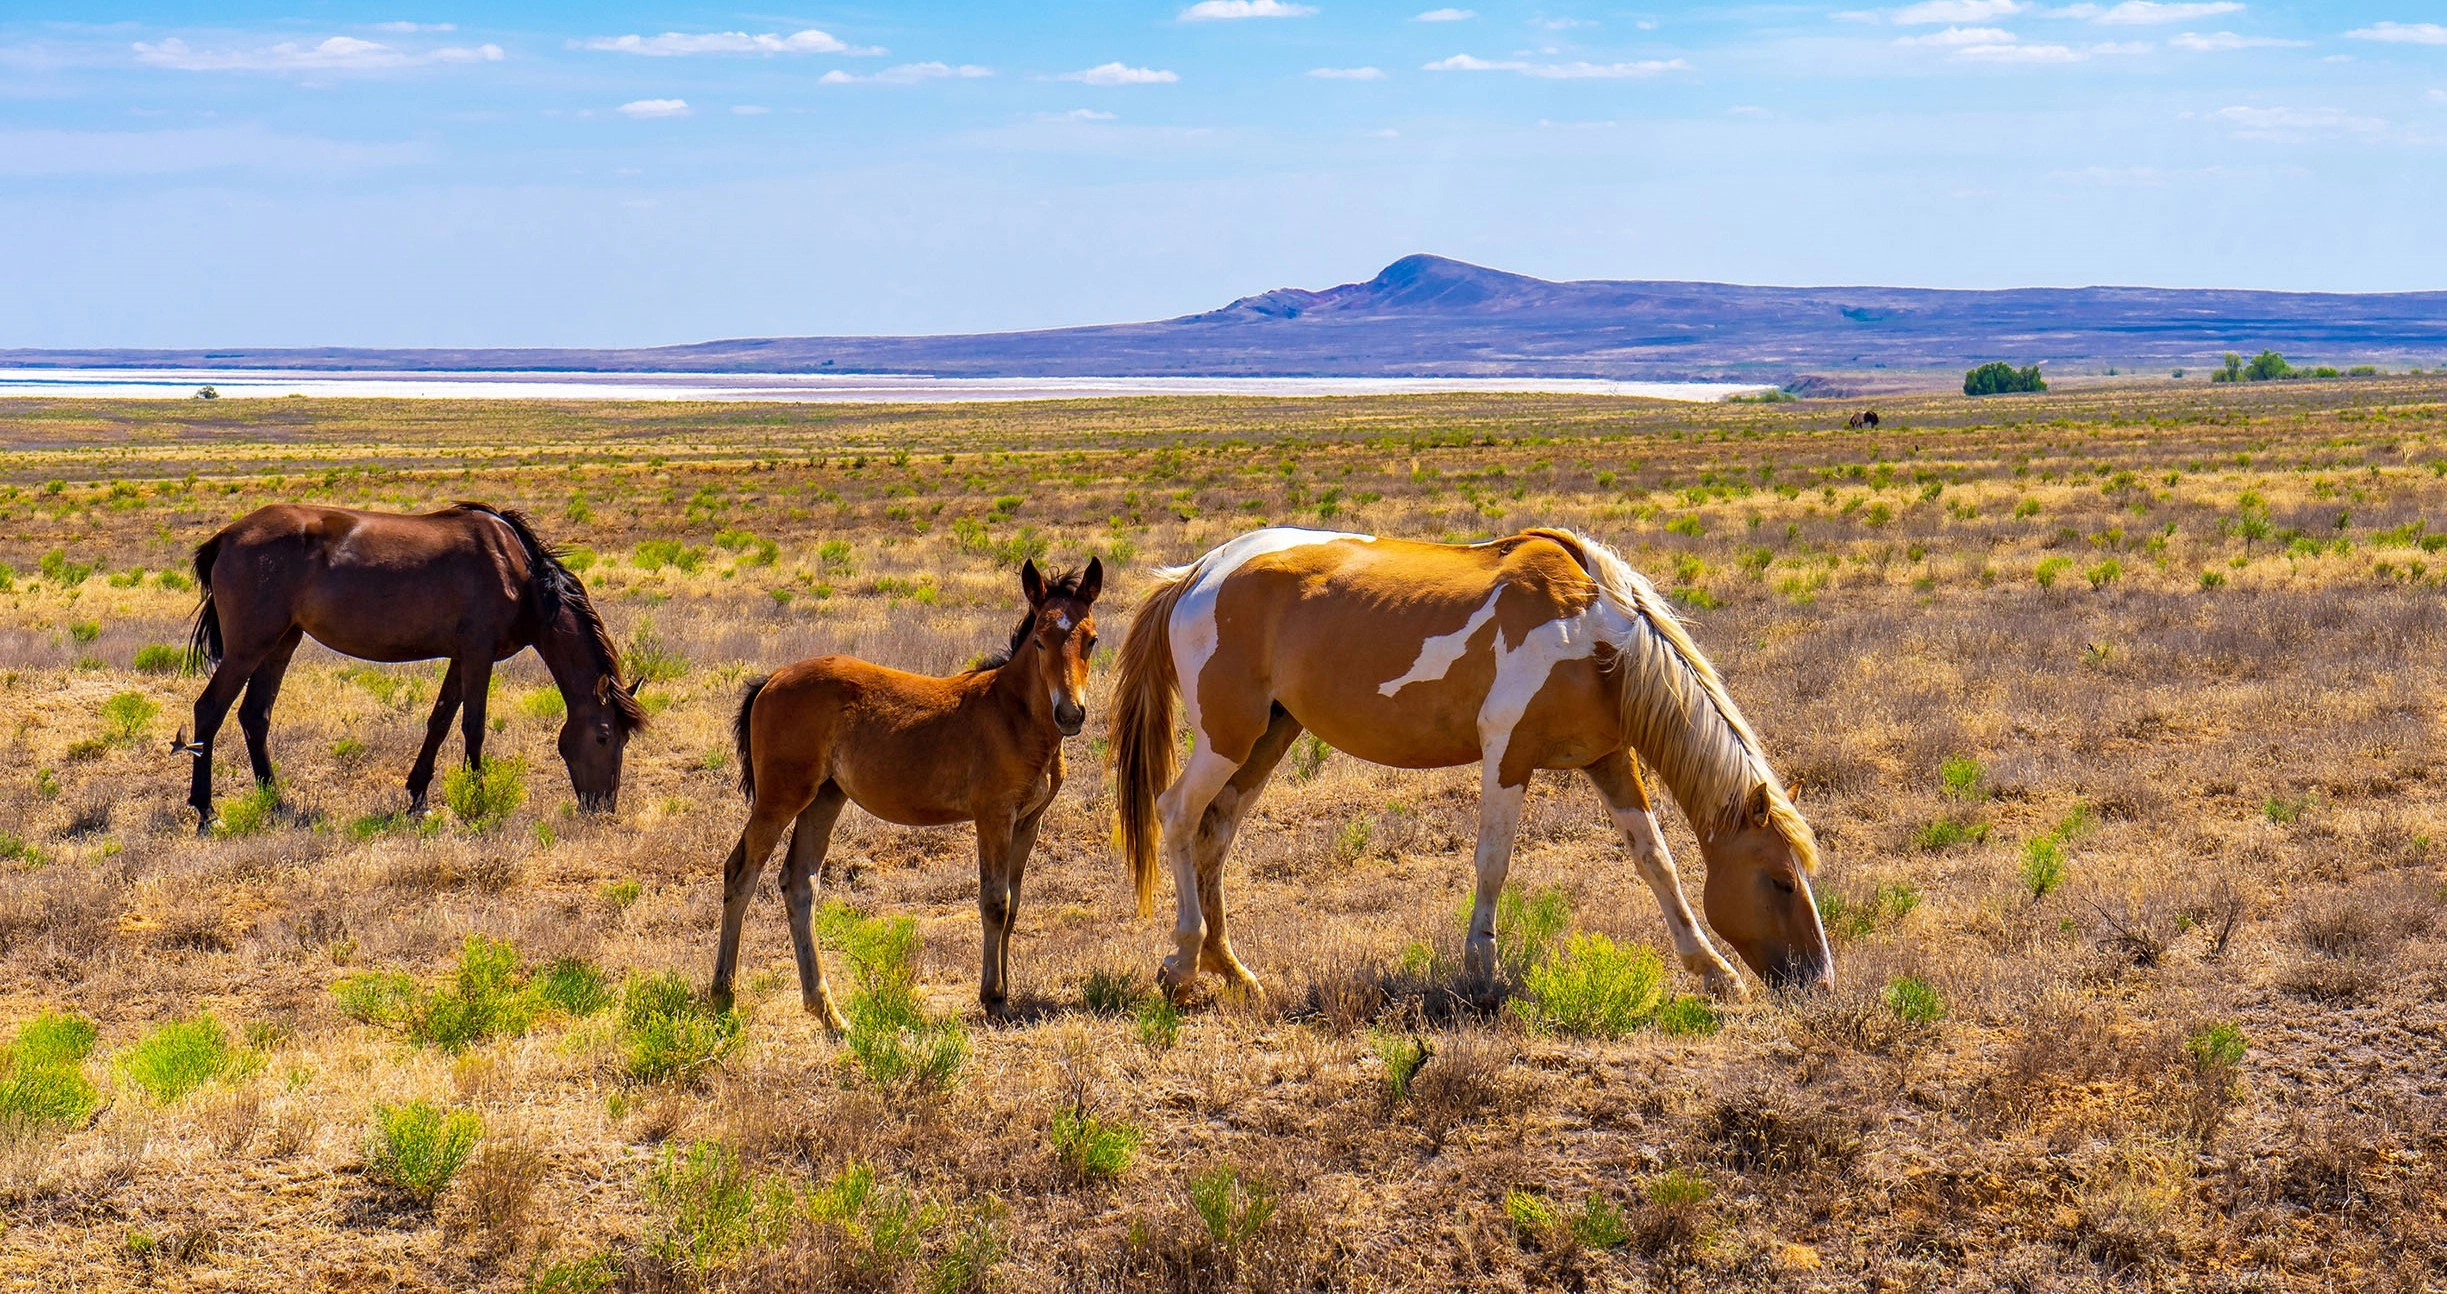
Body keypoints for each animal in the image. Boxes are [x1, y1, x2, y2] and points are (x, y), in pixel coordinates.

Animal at [181, 503, 646, 826]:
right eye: (604, 736)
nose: (603, 806)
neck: (520, 574)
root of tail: (226, 536)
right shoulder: (478, 654)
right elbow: (473, 727)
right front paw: (478, 798)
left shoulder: (461, 656)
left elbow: (439, 721)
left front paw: (418, 798)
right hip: (248, 648)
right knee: (210, 710)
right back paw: (206, 811)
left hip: (281, 643)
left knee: (254, 715)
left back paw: (275, 802)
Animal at [714, 555, 1106, 1027]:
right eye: (1040, 642)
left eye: (1091, 640)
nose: (1070, 714)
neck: (1012, 716)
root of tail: (770, 680)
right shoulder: (993, 815)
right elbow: (994, 900)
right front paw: (993, 998)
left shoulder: (1030, 820)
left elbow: (1013, 906)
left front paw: (1005, 994)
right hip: (781, 797)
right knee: (741, 873)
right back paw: (724, 999)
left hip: (825, 798)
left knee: (799, 883)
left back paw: (829, 1012)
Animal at [1120, 523, 1830, 998]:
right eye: (1780, 881)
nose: (1817, 979)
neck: (1595, 639)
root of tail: (1198, 571)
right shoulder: (1507, 754)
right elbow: (1493, 862)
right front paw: (1482, 969)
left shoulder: (1610, 759)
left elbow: (1657, 862)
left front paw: (1714, 970)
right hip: (1227, 738)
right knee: (1176, 815)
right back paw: (1182, 964)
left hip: (1269, 737)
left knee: (1215, 833)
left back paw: (1232, 970)